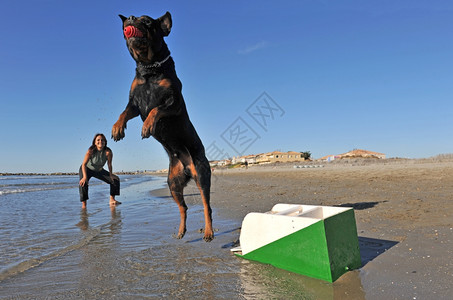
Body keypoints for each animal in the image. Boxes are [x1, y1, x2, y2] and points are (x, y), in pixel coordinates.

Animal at [112, 12, 213, 241]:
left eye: (147, 21)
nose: (130, 18)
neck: (150, 68)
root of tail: (187, 167)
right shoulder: (134, 103)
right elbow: (123, 113)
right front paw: (117, 128)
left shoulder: (173, 102)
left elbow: (155, 110)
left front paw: (147, 126)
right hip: (172, 183)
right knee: (183, 207)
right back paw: (181, 231)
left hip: (202, 175)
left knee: (206, 205)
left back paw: (209, 231)